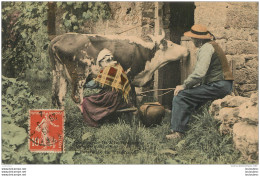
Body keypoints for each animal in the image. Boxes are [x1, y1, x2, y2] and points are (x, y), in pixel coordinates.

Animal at [47, 31, 188, 109]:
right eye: (171, 44)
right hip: (79, 74)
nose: (185, 50)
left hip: (61, 74)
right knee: (77, 98)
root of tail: (59, 37)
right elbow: (132, 98)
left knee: (59, 98)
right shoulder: (129, 76)